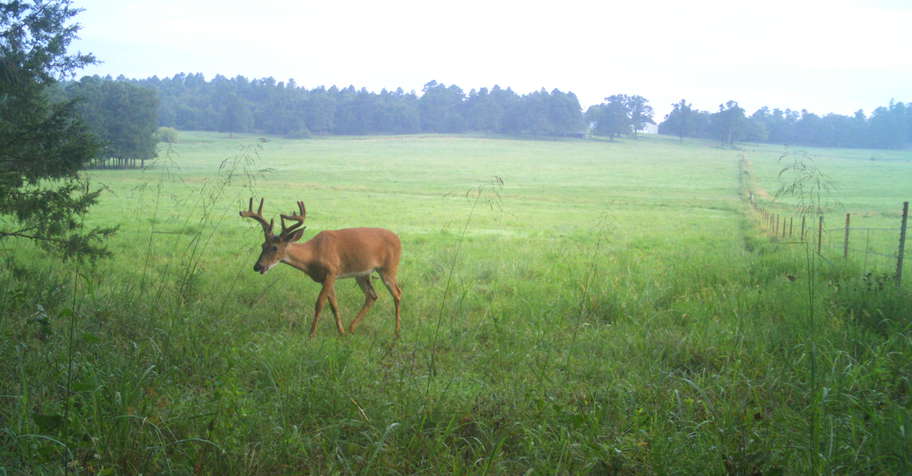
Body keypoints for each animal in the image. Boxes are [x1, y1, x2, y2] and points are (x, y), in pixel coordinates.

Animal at [240, 198, 402, 338]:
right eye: (262, 245)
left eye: (274, 247)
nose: (258, 266)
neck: (314, 252)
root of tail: (398, 239)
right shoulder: (323, 279)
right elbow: (334, 305)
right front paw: (341, 332)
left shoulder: (332, 272)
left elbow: (319, 304)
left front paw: (311, 335)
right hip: (362, 273)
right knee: (372, 295)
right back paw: (351, 328)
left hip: (389, 268)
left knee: (397, 293)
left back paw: (396, 333)